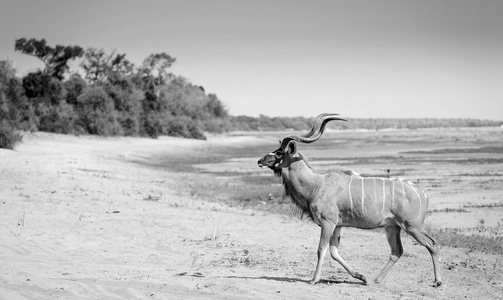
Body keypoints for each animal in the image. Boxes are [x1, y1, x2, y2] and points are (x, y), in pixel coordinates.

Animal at [258, 113, 442, 288]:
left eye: (279, 153)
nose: (260, 160)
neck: (317, 184)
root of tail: (423, 193)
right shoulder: (338, 226)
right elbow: (334, 252)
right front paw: (362, 277)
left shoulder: (328, 222)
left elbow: (321, 249)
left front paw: (314, 280)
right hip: (393, 227)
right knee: (397, 250)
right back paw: (376, 279)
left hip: (412, 226)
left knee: (431, 244)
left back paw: (437, 281)